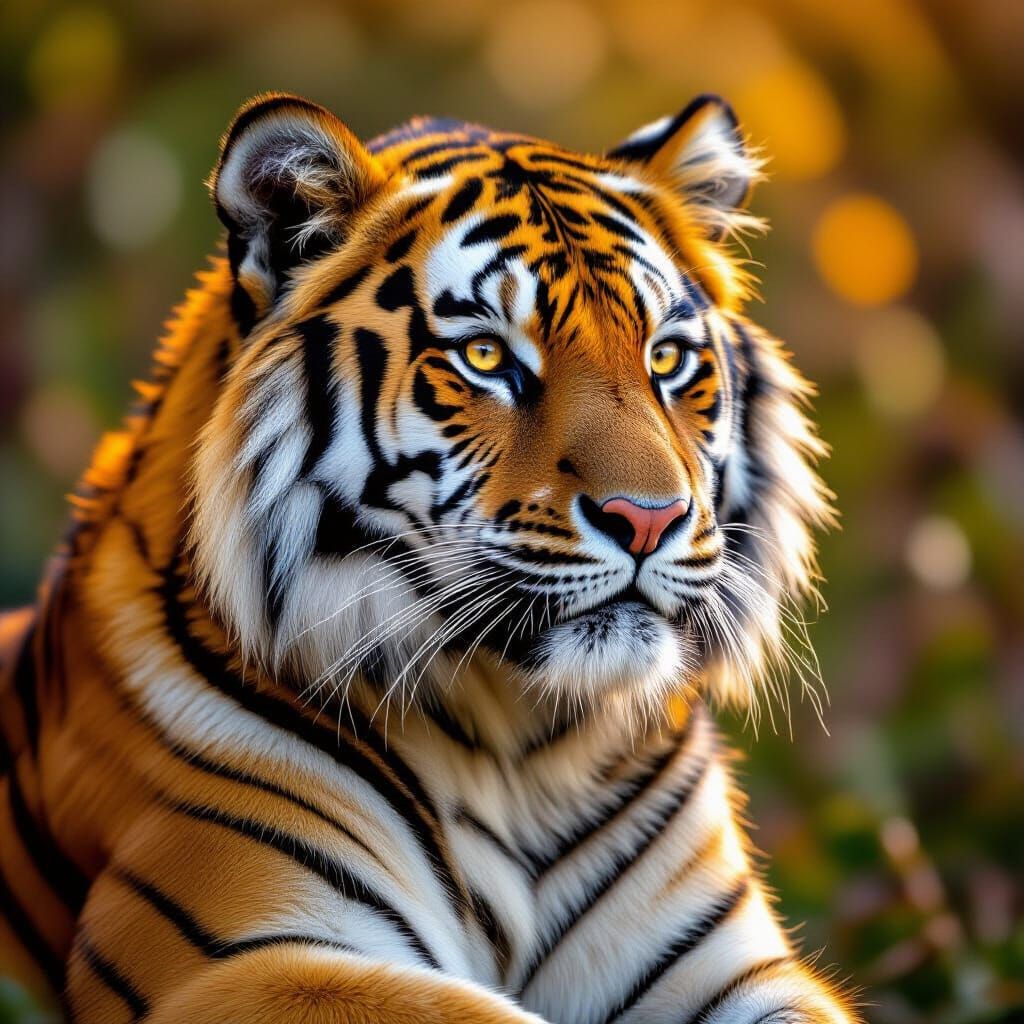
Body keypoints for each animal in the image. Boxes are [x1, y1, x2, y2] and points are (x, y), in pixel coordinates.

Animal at [0, 91, 858, 1023]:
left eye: (665, 357)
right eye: (486, 357)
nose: (647, 519)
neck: (523, 749)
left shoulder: (732, 967)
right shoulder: (241, 958)